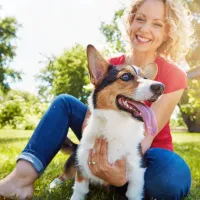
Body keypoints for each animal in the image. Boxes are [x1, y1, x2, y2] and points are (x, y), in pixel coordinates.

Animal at [49, 44, 164, 199]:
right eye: (126, 77)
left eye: (146, 78)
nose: (160, 87)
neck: (117, 123)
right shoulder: (82, 163)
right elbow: (80, 190)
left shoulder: (137, 169)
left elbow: (133, 193)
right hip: (75, 159)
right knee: (64, 174)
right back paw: (54, 184)